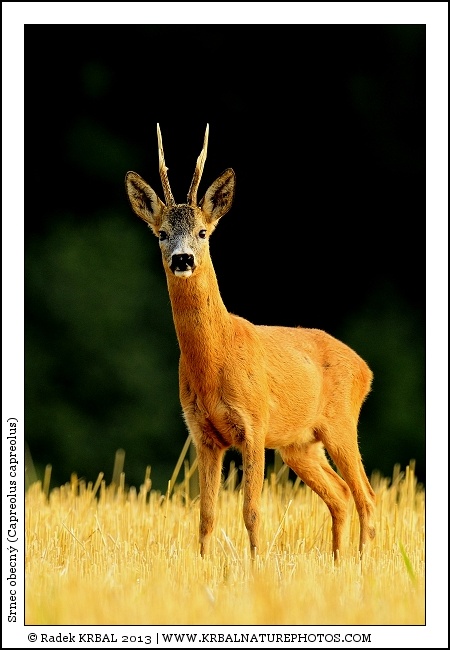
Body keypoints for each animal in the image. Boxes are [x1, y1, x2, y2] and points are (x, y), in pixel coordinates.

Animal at [125, 124, 376, 561]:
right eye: (162, 234)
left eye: (203, 232)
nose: (182, 259)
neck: (215, 360)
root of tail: (366, 369)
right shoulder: (203, 434)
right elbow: (206, 515)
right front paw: (204, 565)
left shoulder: (254, 424)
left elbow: (252, 510)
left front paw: (258, 565)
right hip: (300, 444)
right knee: (342, 494)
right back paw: (338, 562)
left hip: (342, 422)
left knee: (366, 495)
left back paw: (363, 563)